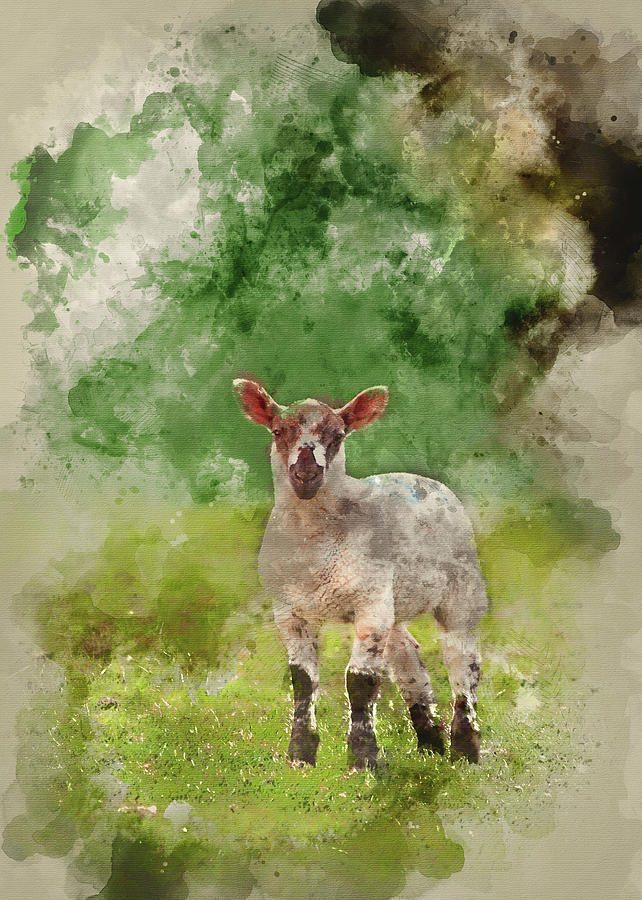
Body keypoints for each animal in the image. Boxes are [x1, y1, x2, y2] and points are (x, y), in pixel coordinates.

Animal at [233, 378, 488, 769]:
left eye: (338, 435)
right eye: (278, 431)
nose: (306, 472)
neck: (316, 547)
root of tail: (427, 480)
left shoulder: (370, 602)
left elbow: (360, 681)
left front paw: (363, 759)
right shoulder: (288, 610)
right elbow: (302, 681)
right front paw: (300, 756)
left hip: (462, 589)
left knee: (463, 660)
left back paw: (464, 749)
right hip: (394, 602)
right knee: (408, 658)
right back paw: (430, 745)